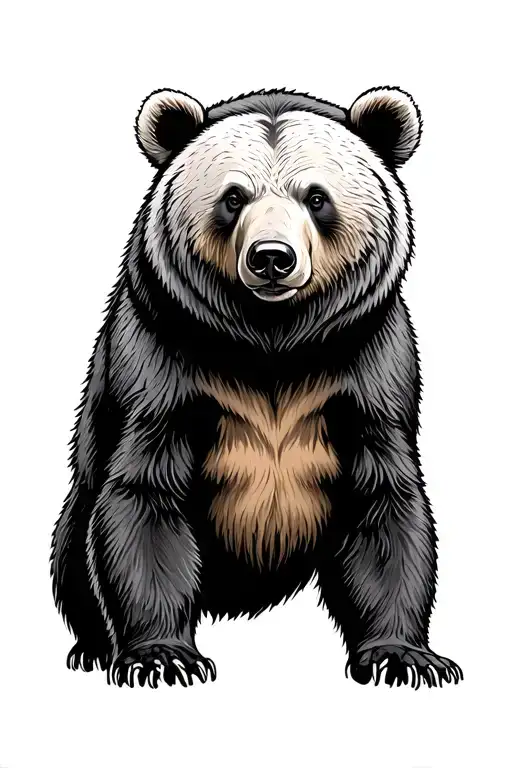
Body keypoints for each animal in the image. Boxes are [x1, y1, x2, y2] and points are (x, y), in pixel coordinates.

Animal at [50, 85, 463, 690]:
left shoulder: (366, 369)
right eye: (233, 197)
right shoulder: (164, 362)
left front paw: (403, 656)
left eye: (316, 197)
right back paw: (91, 648)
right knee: (72, 550)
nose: (272, 257)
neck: (270, 345)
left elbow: (384, 500)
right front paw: (163, 655)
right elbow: (144, 493)